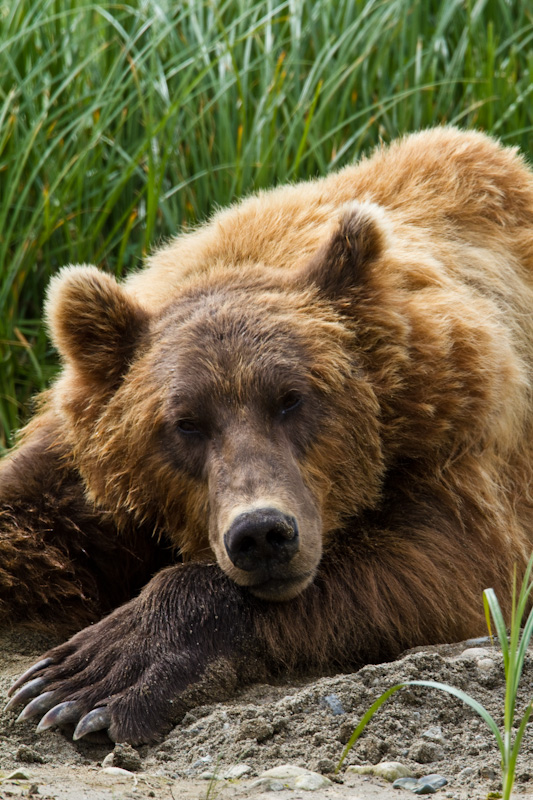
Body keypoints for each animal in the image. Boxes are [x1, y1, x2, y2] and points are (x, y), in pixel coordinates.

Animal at [1, 126, 532, 744]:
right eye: (185, 423)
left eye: (292, 398)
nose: (260, 533)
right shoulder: (82, 476)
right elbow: (26, 525)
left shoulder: (457, 438)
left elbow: (446, 564)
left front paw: (87, 678)